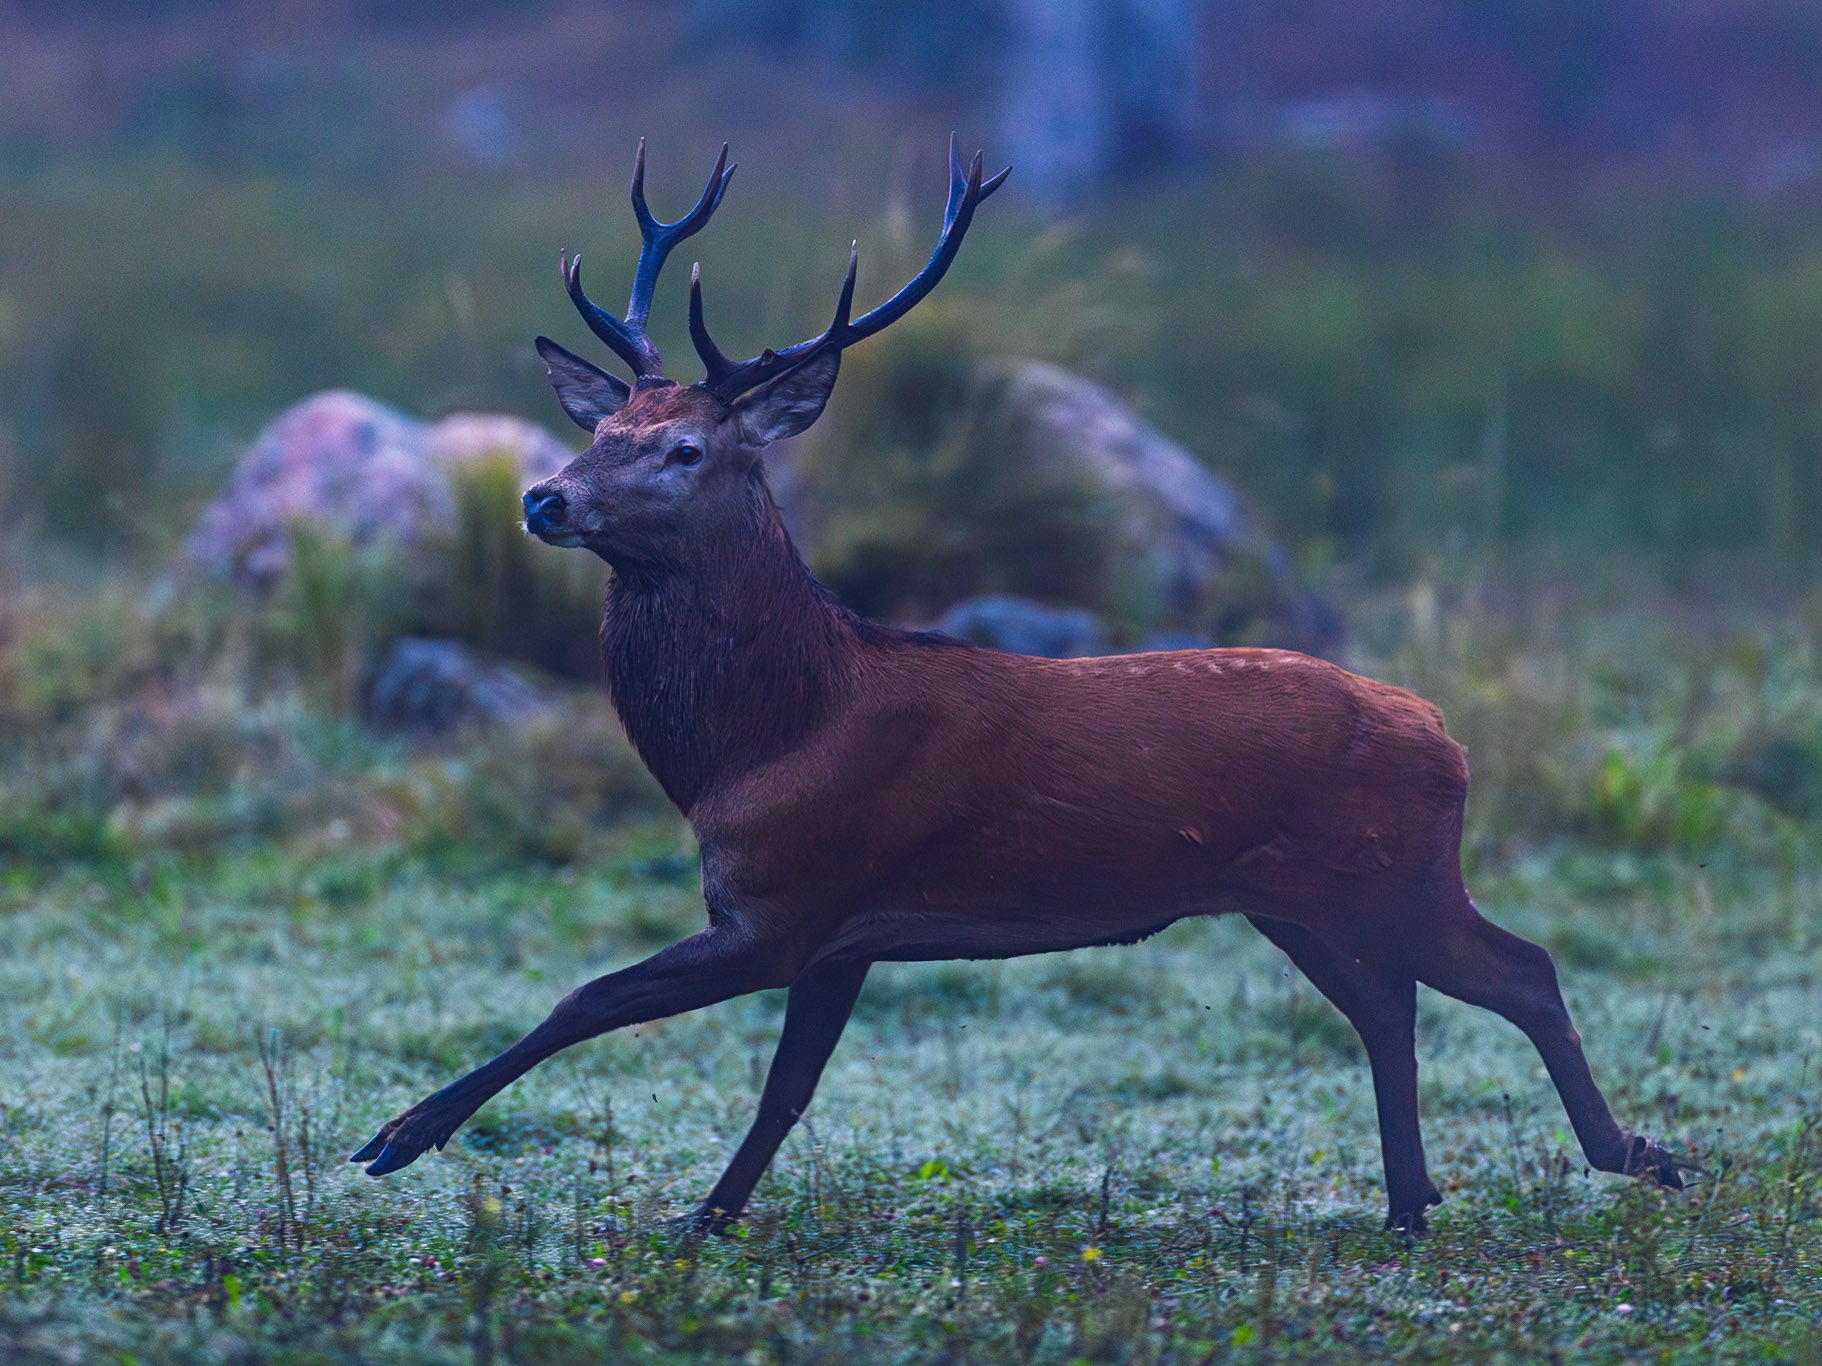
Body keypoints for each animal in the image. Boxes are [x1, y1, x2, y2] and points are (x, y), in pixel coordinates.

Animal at [350, 136, 1683, 1233]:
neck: (755, 747)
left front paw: (399, 1135)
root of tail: (1445, 734)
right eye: (598, 432)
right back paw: (1411, 1203)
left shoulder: (788, 901)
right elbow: (785, 1089)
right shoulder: (841, 933)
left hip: (1390, 871)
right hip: (1289, 893)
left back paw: (1634, 1154)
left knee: (1518, 969)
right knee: (1388, 1008)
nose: (543, 496)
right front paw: (706, 1218)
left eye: (683, 448)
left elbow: (587, 998)